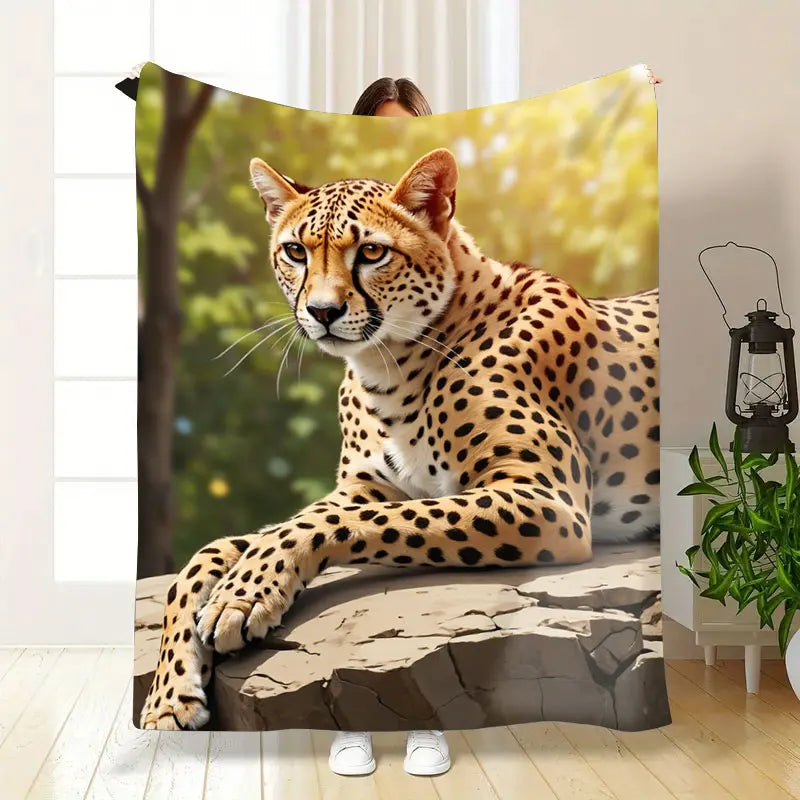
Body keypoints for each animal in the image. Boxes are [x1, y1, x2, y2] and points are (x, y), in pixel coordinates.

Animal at [140, 148, 659, 730]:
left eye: (371, 252)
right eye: (295, 251)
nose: (322, 312)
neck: (386, 369)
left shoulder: (547, 500)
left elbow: (343, 524)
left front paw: (242, 596)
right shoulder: (363, 488)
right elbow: (215, 551)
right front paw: (168, 696)